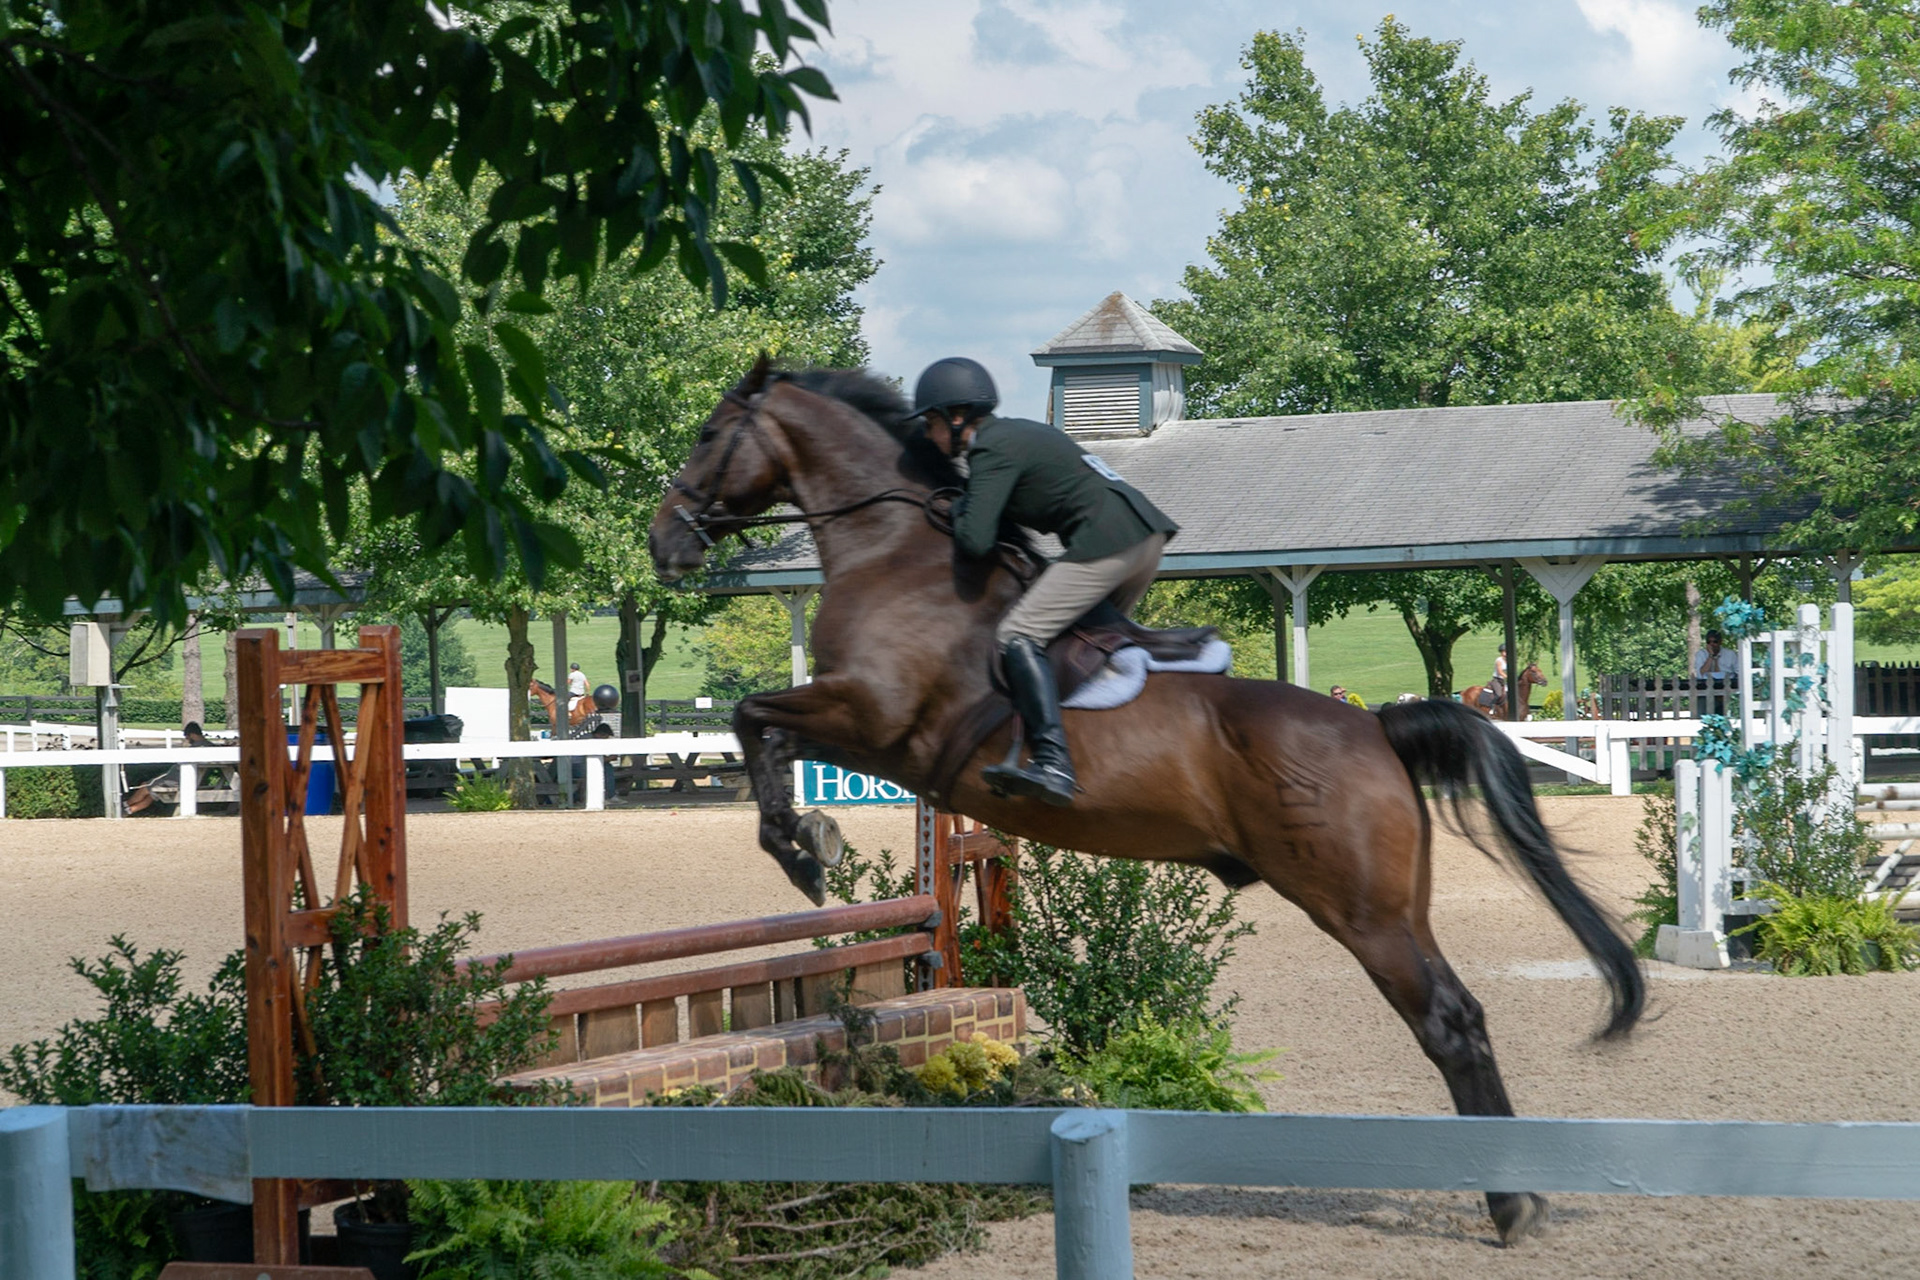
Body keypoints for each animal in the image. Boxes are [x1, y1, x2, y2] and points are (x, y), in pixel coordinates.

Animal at [647, 360, 1642, 1246]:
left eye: (707, 434)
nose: (665, 542)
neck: (898, 553)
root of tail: (1376, 727)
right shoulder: (865, 730)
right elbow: (761, 731)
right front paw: (810, 837)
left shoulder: (873, 720)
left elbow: (752, 717)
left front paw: (802, 846)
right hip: (1399, 906)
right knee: (1462, 1013)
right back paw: (1512, 1194)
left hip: (1360, 909)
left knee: (1444, 1020)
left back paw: (1509, 1205)